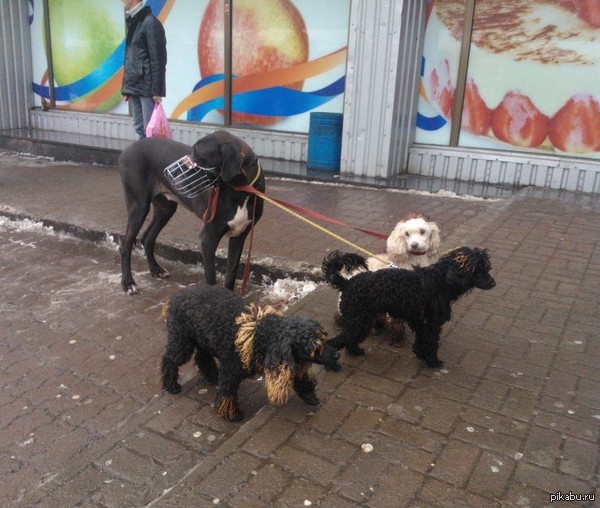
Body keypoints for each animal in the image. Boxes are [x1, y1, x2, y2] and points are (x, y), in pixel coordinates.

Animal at [118, 131, 264, 294]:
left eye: (198, 154)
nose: (170, 172)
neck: (242, 191)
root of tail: (126, 150)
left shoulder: (239, 236)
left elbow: (231, 273)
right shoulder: (208, 238)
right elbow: (211, 278)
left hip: (165, 210)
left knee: (147, 238)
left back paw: (156, 270)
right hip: (139, 207)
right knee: (125, 245)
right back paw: (128, 283)